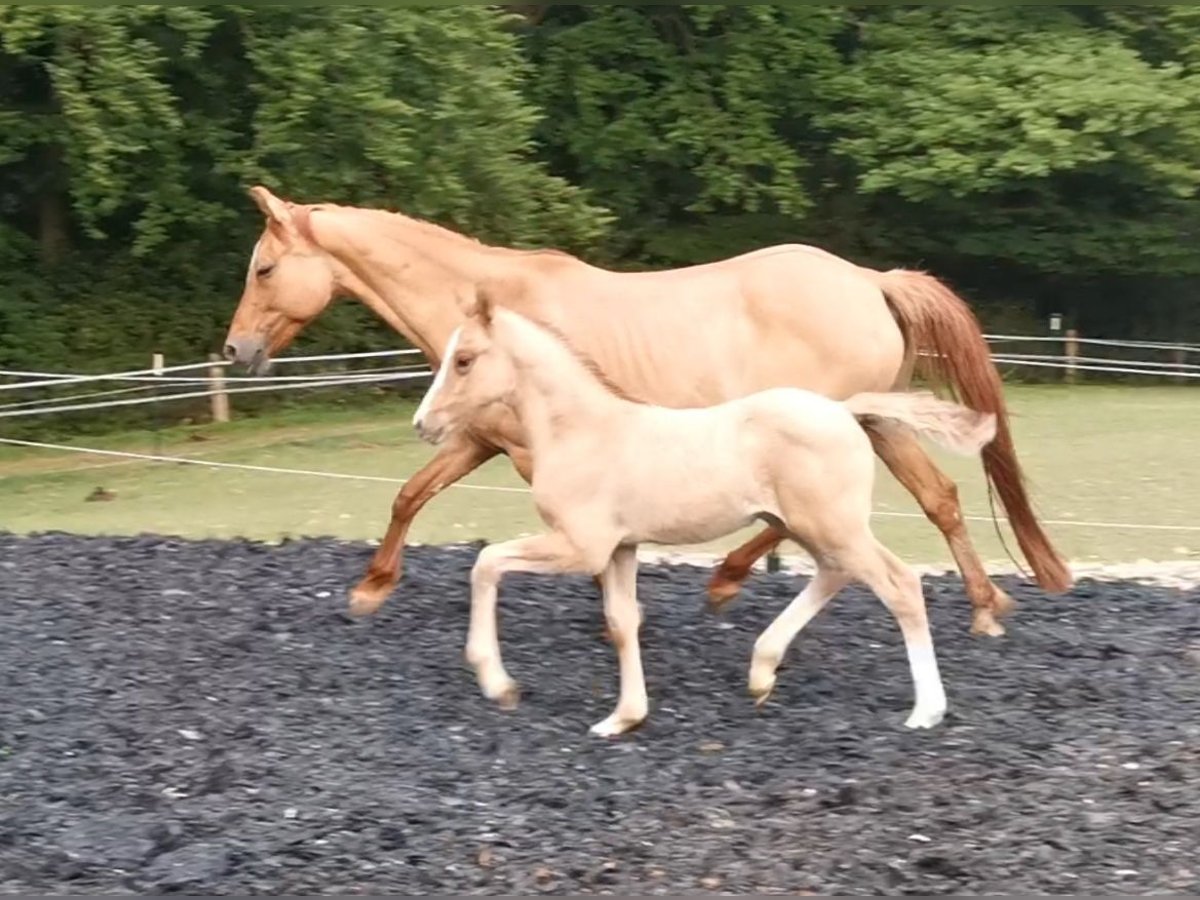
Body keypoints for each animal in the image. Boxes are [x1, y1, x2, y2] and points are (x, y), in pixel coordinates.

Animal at [222, 185, 1072, 637]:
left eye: (262, 268)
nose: (235, 351)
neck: (497, 318)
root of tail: (869, 280)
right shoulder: (480, 441)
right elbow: (409, 495)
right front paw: (371, 588)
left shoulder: (535, 458)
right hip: (876, 421)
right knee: (940, 498)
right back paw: (986, 605)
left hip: (829, 427)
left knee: (810, 517)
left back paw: (731, 580)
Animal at [411, 288, 998, 736]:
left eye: (464, 360)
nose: (423, 425)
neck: (581, 430)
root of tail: (843, 409)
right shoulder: (621, 549)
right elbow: (622, 622)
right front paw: (623, 718)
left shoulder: (581, 546)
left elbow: (486, 564)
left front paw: (498, 683)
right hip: (814, 528)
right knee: (837, 575)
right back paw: (762, 671)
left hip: (834, 526)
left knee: (900, 585)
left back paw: (926, 710)